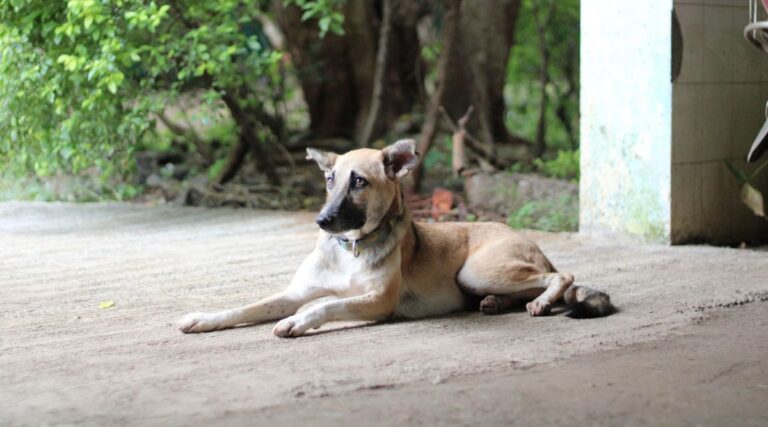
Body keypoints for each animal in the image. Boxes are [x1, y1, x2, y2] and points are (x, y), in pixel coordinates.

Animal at [178, 140, 612, 338]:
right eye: (330, 179)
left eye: (360, 182)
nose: (322, 220)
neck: (351, 247)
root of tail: (529, 242)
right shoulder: (293, 292)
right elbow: (248, 307)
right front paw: (204, 318)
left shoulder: (378, 301)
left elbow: (326, 306)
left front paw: (298, 321)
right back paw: (496, 303)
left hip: (477, 270)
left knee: (562, 277)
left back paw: (541, 300)